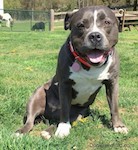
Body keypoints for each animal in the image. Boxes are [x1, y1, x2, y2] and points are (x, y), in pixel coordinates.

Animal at [15, 6, 128, 139]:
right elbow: (64, 109)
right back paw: (22, 131)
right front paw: (63, 128)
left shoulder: (112, 83)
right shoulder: (65, 85)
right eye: (80, 25)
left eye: (107, 22)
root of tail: (49, 116)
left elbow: (114, 106)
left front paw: (118, 126)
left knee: (61, 120)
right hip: (37, 96)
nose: (95, 35)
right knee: (31, 120)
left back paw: (48, 131)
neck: (89, 65)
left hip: (80, 113)